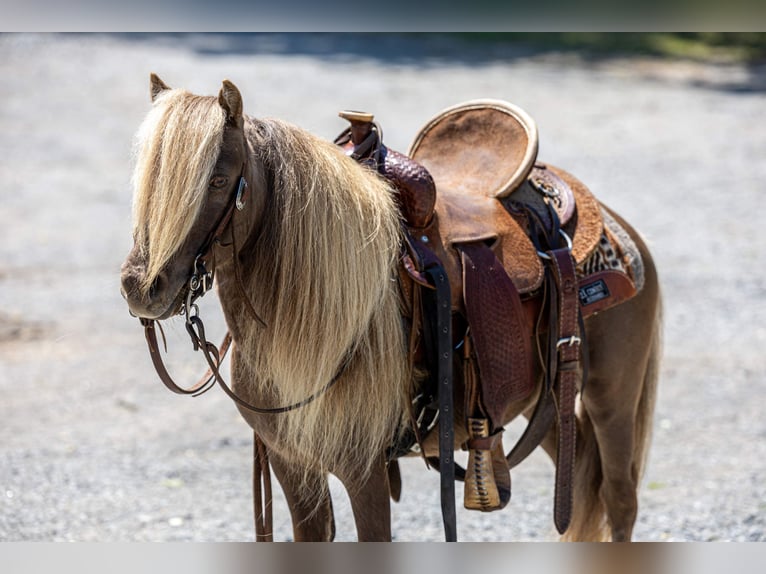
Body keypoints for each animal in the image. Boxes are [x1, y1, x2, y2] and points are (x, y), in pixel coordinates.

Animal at [120, 75, 662, 542]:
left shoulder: (364, 472)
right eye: (147, 176)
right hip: (543, 401)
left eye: (217, 180)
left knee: (620, 501)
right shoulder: (291, 463)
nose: (140, 287)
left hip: (612, 398)